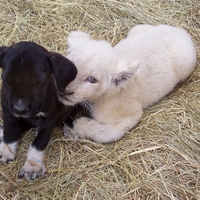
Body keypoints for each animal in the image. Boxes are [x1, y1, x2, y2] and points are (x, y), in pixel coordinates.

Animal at [0, 41, 77, 180]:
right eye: (6, 80)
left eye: (38, 81)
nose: (20, 109)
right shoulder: (7, 107)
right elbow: (10, 128)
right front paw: (7, 149)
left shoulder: (50, 117)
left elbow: (39, 142)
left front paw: (33, 166)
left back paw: (70, 129)